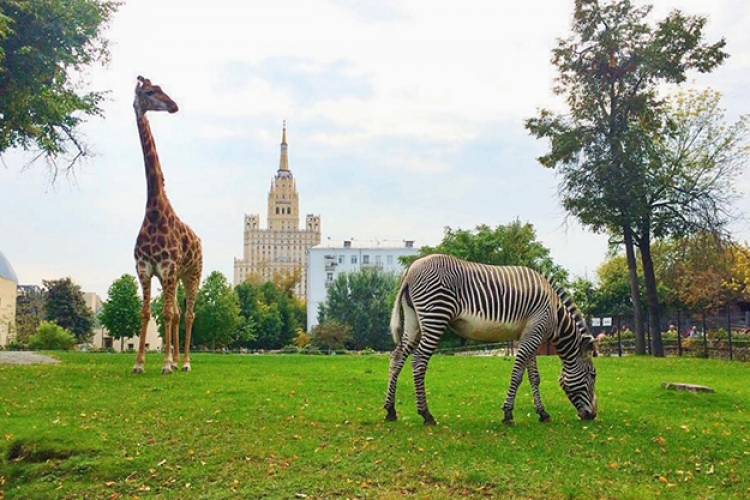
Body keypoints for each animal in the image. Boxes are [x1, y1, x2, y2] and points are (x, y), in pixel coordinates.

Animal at [384, 254, 596, 426]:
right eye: (593, 375)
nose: (592, 415)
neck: (555, 313)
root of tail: (410, 270)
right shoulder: (534, 333)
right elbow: (517, 374)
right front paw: (508, 414)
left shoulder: (528, 335)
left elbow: (534, 377)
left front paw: (542, 413)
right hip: (435, 316)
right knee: (419, 360)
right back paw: (426, 414)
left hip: (413, 320)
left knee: (397, 357)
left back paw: (390, 410)